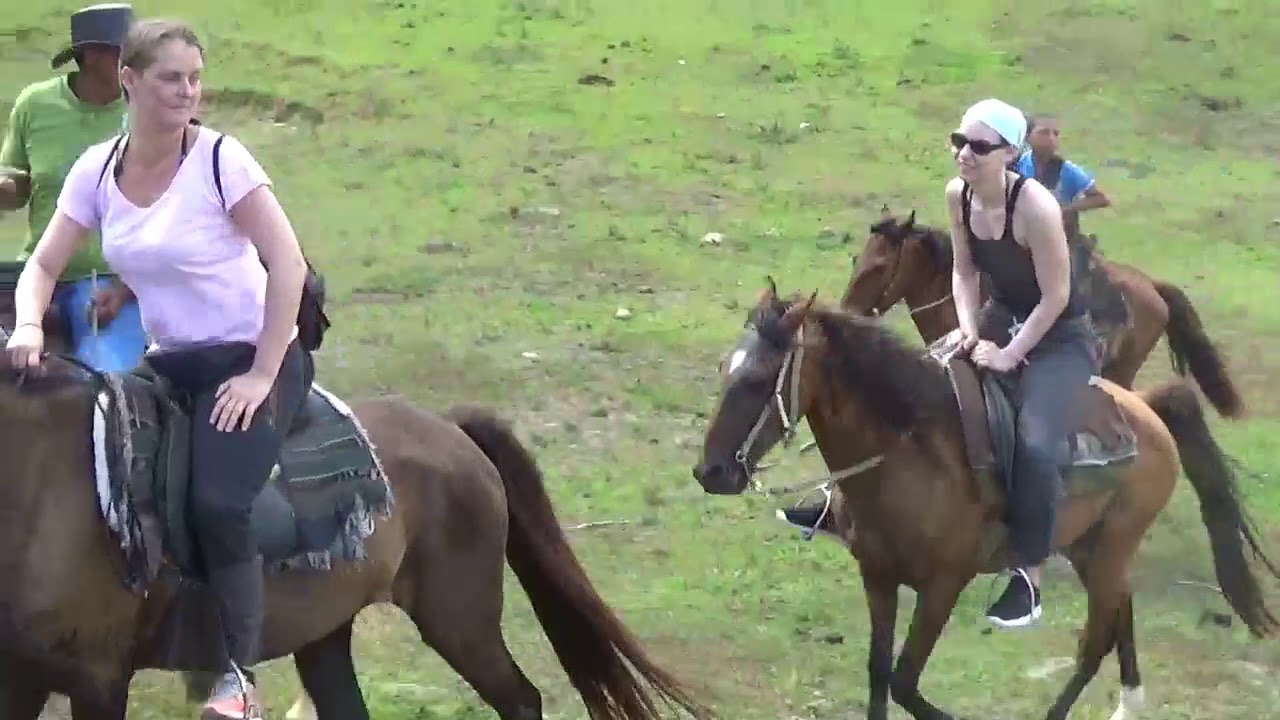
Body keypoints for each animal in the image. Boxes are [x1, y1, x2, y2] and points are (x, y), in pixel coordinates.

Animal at [0, 349, 713, 720]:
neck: (45, 482)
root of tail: (451, 433)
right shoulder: (24, 678)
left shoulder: (97, 679)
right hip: (324, 636)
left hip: (461, 624)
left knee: (521, 700)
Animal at [691, 279, 1279, 720]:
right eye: (724, 370)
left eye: (761, 378)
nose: (711, 471)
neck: (909, 450)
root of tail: (1147, 410)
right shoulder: (878, 577)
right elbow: (880, 675)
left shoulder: (943, 586)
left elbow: (905, 683)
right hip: (1089, 547)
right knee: (1118, 615)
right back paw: (1127, 703)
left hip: (1112, 545)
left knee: (1094, 642)